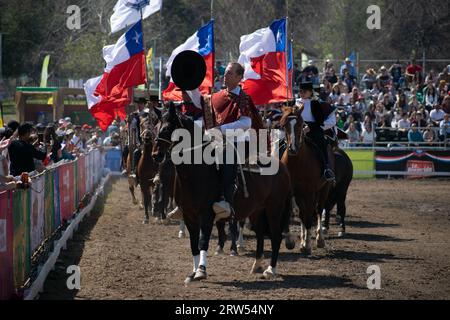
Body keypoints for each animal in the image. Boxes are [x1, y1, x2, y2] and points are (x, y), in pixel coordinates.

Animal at [153, 104, 298, 282]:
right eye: (155, 128)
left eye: (167, 128)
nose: (156, 155)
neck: (196, 172)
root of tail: (283, 167)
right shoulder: (189, 215)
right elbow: (193, 244)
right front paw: (193, 272)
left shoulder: (206, 214)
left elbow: (202, 242)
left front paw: (201, 270)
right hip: (257, 211)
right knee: (260, 235)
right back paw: (257, 265)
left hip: (274, 209)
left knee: (276, 236)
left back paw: (271, 270)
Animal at [280, 106, 332, 256]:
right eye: (284, 125)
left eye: (301, 124)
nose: (292, 148)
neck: (296, 162)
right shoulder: (289, 193)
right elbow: (291, 215)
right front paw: (290, 242)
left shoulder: (309, 193)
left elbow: (309, 218)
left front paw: (308, 245)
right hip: (300, 195)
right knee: (303, 214)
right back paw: (302, 241)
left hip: (323, 189)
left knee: (318, 211)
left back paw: (319, 239)